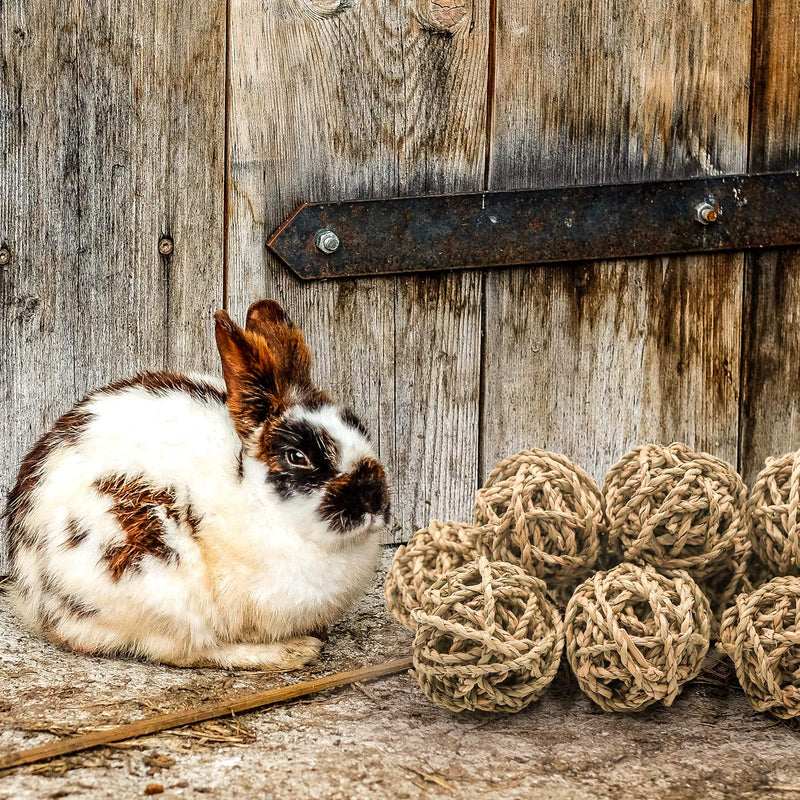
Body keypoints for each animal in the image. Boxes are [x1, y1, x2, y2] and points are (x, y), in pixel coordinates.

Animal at [0, 300, 388, 668]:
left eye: (359, 428)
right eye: (297, 456)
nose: (373, 498)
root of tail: (33, 594)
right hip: (157, 575)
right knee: (188, 650)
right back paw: (291, 652)